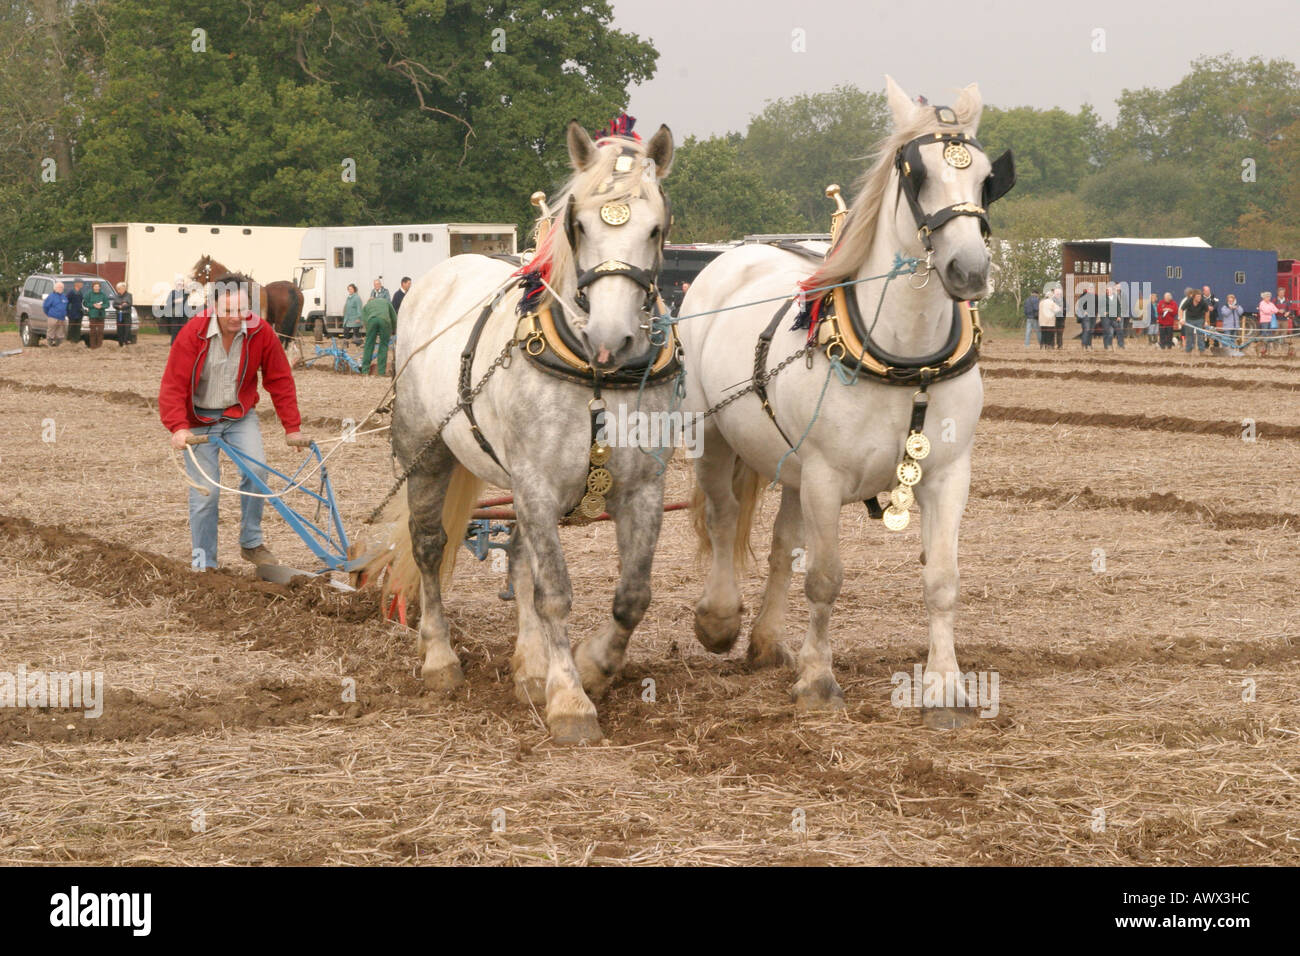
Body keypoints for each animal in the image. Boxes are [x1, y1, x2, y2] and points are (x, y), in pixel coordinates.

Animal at [379, 121, 676, 749]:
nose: (611, 337)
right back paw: (440, 656)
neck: (596, 375)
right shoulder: (538, 485)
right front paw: (571, 700)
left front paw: (590, 667)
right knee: (429, 546)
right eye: (578, 224)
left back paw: (530, 667)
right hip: (427, 452)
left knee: (517, 556)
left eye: (655, 227)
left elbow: (632, 595)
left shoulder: (642, 488)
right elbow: (554, 593)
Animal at [681, 78, 1013, 728]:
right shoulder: (826, 476)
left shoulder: (947, 475)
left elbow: (942, 579)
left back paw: (765, 640)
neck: (909, 363)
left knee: (782, 543)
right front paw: (818, 680)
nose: (968, 269)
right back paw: (720, 620)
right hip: (715, 435)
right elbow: (826, 579)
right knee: (724, 517)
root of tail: (733, 257)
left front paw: (945, 687)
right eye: (915, 174)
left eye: (989, 178)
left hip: (790, 463)